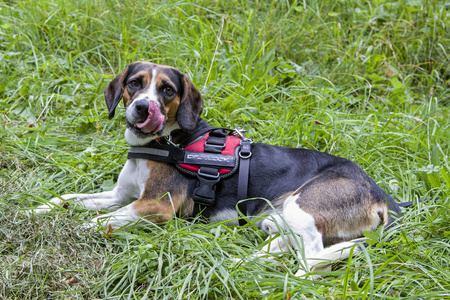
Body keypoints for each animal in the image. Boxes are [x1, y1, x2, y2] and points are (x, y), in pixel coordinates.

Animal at [33, 61, 402, 276]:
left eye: (167, 90)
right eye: (134, 83)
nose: (143, 108)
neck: (164, 142)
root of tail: (382, 197)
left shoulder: (153, 206)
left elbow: (98, 221)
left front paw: (76, 228)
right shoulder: (119, 194)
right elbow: (68, 199)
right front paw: (36, 210)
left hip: (303, 208)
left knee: (312, 258)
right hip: (277, 219)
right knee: (282, 247)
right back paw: (236, 263)